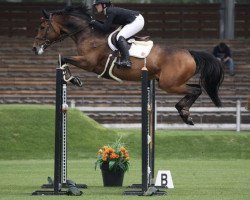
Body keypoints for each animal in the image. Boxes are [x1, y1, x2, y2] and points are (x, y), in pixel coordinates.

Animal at [31, 4, 225, 125]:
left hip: (169, 84)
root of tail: (189, 53)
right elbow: (62, 60)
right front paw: (72, 79)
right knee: (195, 88)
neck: (87, 33)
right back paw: (184, 112)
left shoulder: (88, 62)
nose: (34, 48)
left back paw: (184, 113)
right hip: (172, 82)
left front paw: (73, 79)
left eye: (42, 27)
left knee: (195, 90)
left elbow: (63, 59)